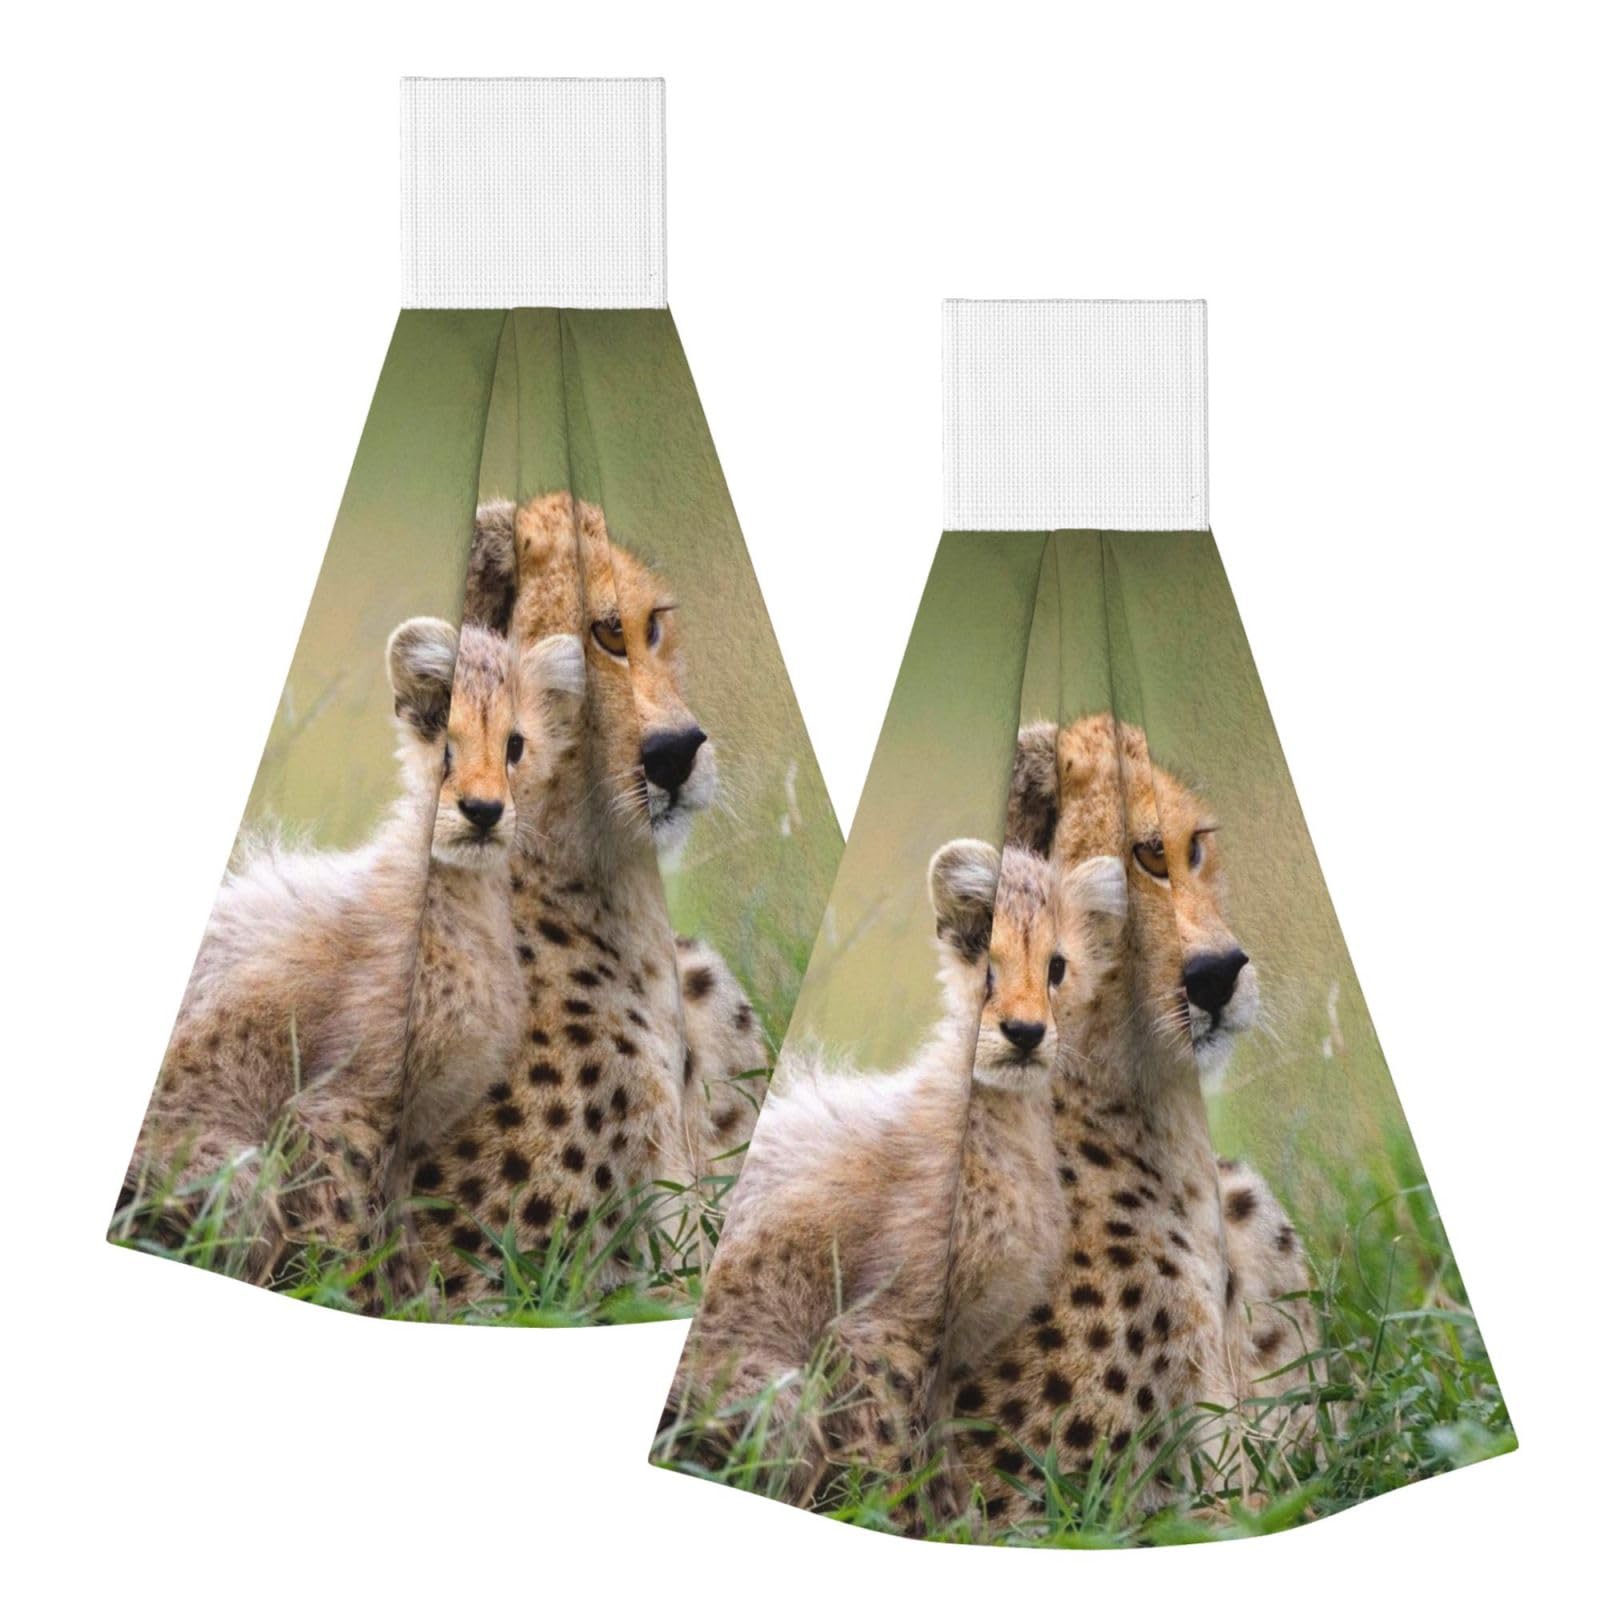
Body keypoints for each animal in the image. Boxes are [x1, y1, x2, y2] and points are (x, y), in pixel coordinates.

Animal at [120, 618, 583, 1287]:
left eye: (514, 746)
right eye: (444, 741)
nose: (483, 811)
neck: (452, 895)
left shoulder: (411, 1136)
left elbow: (398, 1239)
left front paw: (413, 1297)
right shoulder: (339, 1107)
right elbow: (351, 1235)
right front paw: (349, 1293)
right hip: (227, 1170)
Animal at [661, 838, 1127, 1510]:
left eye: (1056, 968)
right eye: (987, 963)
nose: (1025, 1033)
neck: (993, 1118)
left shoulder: (952, 1358)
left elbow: (939, 1462)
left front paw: (954, 1518)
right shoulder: (882, 1328)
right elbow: (890, 1454)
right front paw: (888, 1513)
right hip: (769, 1390)